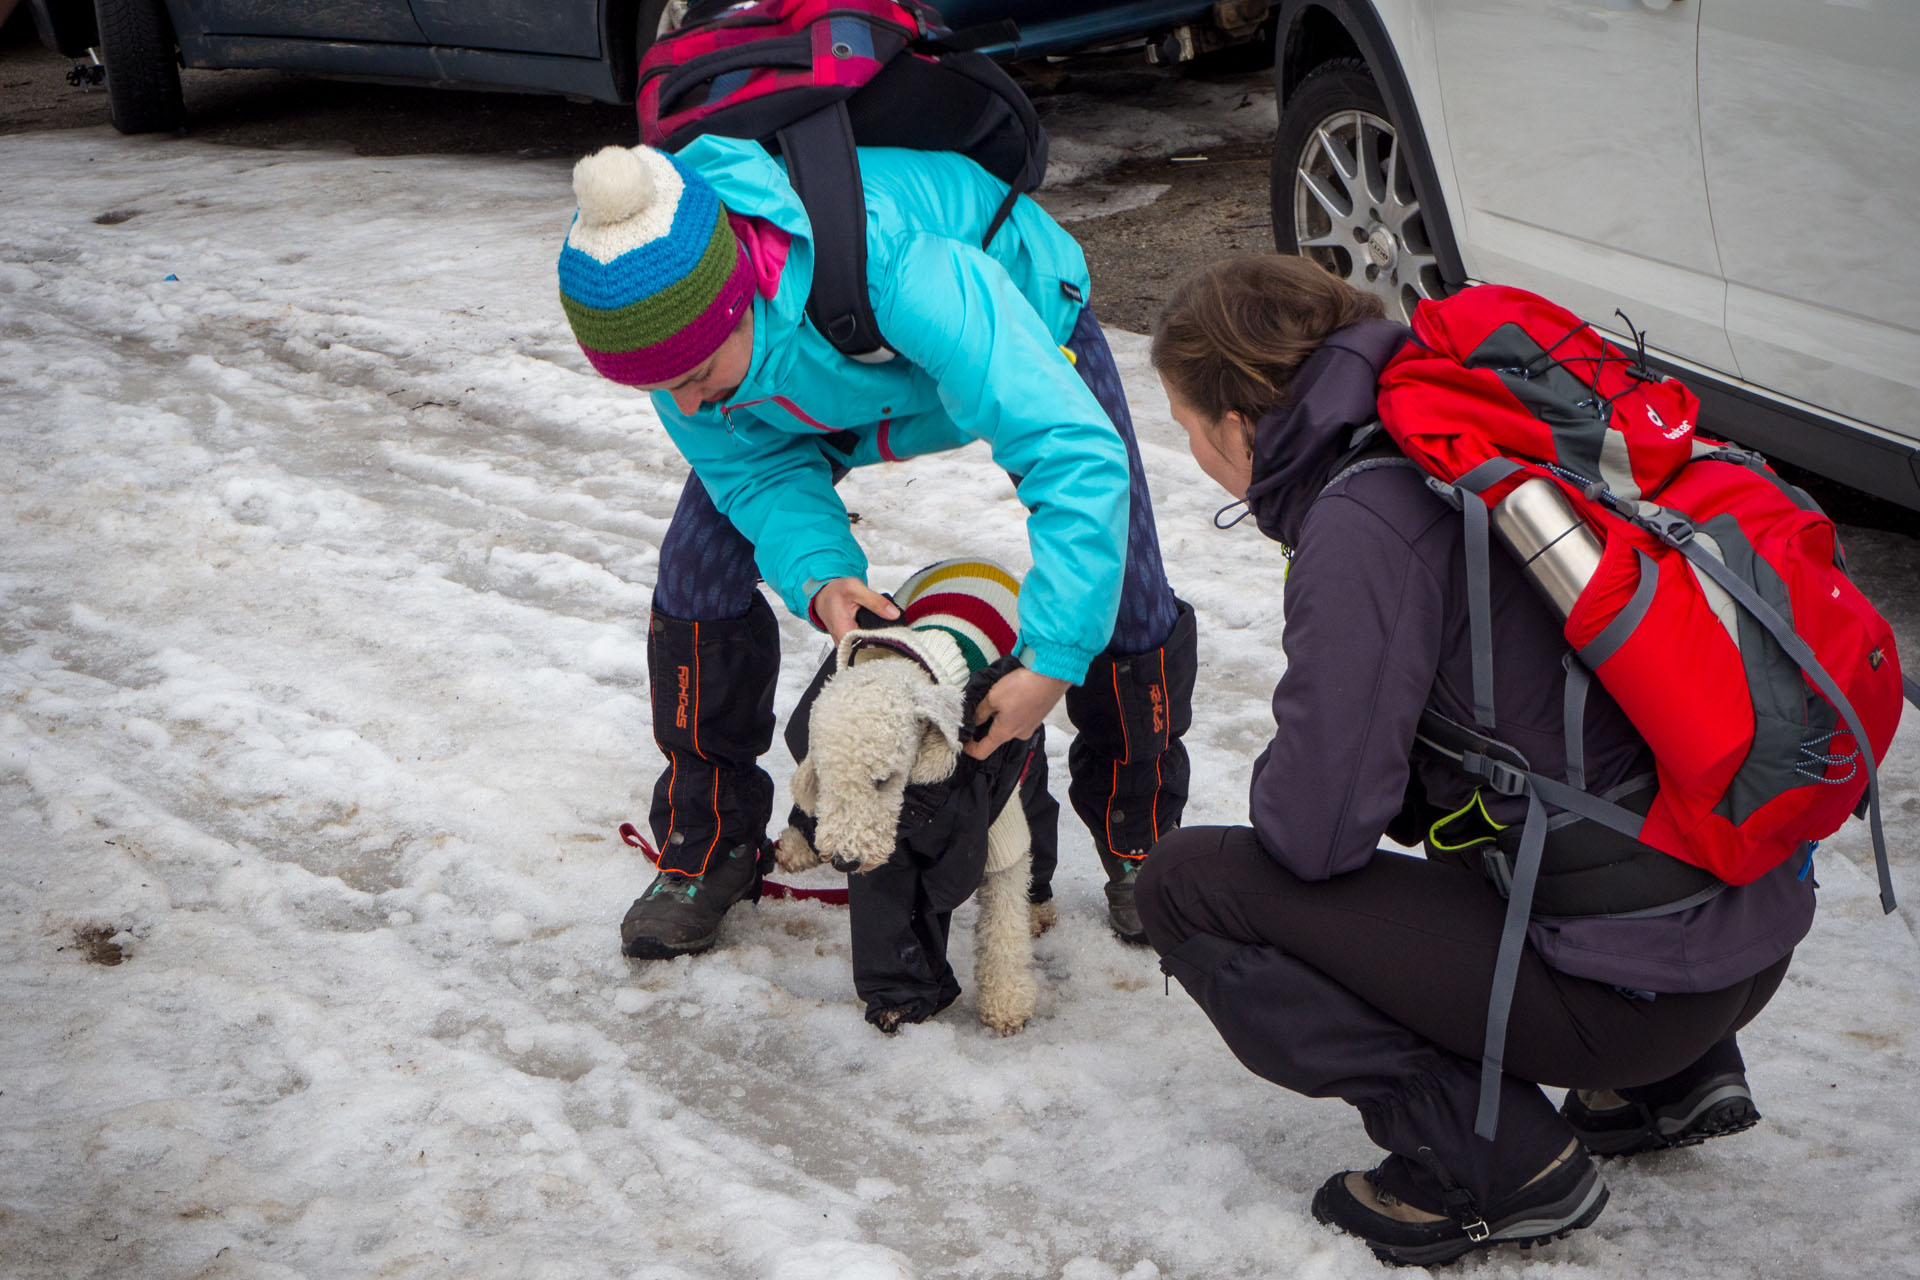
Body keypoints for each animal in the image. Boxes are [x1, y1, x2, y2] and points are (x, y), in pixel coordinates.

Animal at [775, 629, 1044, 1043]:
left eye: (882, 779)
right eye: (827, 778)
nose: (845, 861)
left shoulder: (997, 815)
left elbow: (1004, 908)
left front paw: (1007, 1003)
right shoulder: (892, 844)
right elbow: (887, 911)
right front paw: (898, 1002)